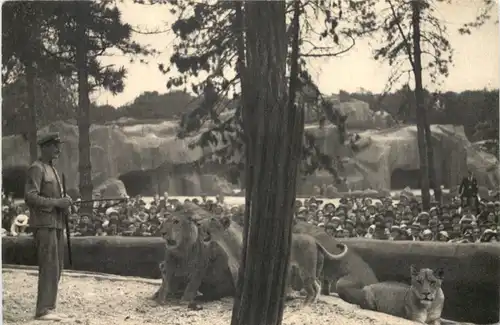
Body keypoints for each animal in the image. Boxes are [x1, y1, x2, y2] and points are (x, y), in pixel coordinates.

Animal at [195, 215, 348, 304]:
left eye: (212, 219)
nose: (197, 222)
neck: (228, 245)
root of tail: (315, 241)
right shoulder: (237, 270)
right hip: (312, 268)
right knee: (318, 284)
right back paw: (311, 303)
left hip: (306, 269)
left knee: (313, 287)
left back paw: (306, 304)